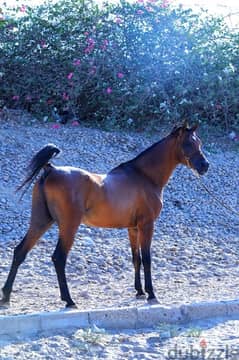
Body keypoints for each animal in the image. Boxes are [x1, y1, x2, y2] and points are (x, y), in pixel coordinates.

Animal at [0, 122, 209, 308]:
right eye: (188, 143)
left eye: (199, 142)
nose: (205, 165)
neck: (144, 176)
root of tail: (50, 169)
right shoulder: (147, 225)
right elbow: (147, 259)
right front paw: (151, 294)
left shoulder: (133, 228)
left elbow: (136, 259)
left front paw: (139, 291)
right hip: (68, 226)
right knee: (58, 258)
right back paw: (69, 300)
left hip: (41, 221)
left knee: (20, 252)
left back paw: (6, 296)